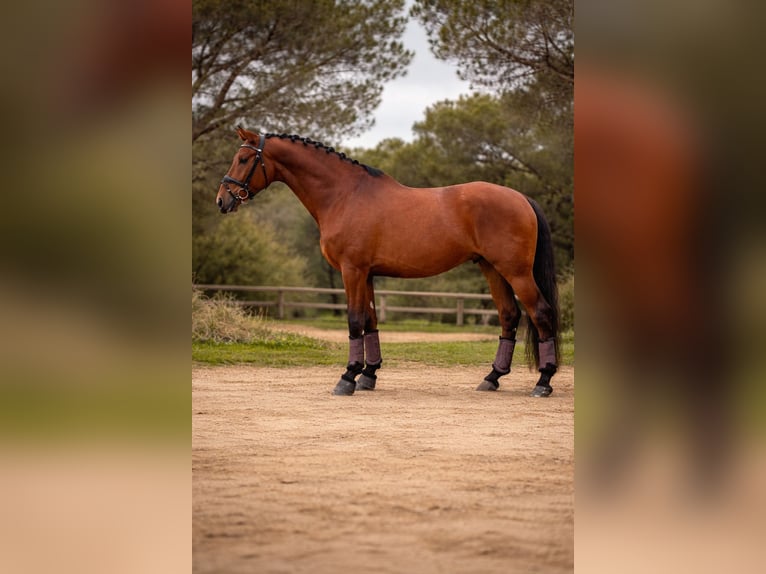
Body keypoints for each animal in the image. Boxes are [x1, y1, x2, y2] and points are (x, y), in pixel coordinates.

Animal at [216, 126, 560, 396]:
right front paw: (368, 375)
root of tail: (521, 198)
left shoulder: (352, 271)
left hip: (516, 272)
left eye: (244, 159)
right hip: (492, 269)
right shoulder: (366, 274)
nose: (222, 200)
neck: (345, 195)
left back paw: (543, 382)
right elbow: (370, 321)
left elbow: (355, 320)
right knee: (509, 316)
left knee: (541, 313)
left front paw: (347, 377)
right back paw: (492, 378)